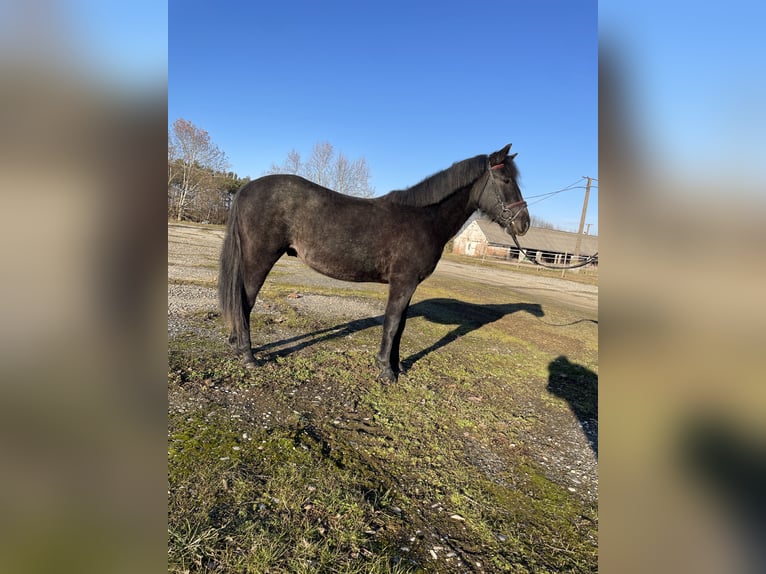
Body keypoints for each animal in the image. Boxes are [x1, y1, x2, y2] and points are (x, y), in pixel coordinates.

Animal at [219, 143, 532, 382]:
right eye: (506, 181)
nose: (524, 223)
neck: (424, 218)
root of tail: (246, 189)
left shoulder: (408, 285)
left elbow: (401, 326)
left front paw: (398, 366)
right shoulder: (403, 282)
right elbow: (392, 325)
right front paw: (385, 371)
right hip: (259, 260)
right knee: (244, 303)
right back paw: (248, 356)